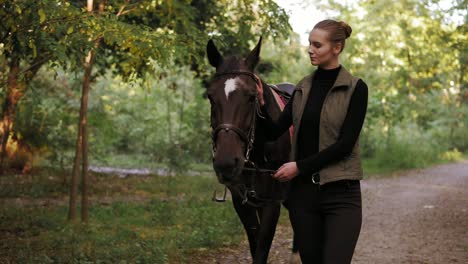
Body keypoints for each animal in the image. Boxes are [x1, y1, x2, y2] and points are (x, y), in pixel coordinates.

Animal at [206, 38, 294, 262]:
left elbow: (262, 247)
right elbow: (255, 245)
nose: (226, 163)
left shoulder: (272, 202)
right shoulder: (242, 201)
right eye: (210, 96)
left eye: (252, 97)